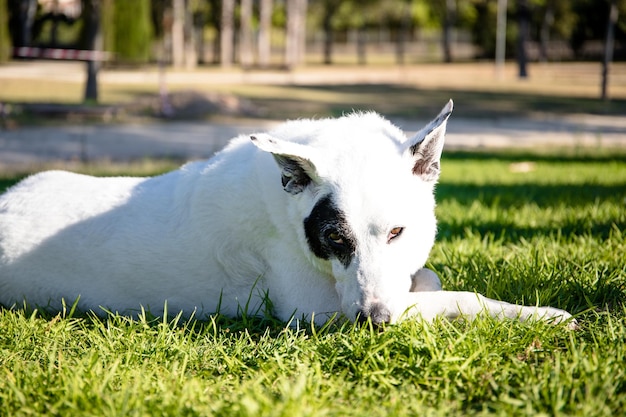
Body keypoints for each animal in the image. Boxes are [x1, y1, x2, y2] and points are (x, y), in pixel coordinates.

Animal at [0, 101, 572, 324]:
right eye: (335, 240)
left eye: (397, 232)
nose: (373, 321)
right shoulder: (317, 309)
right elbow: (457, 298)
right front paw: (540, 315)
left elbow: (424, 278)